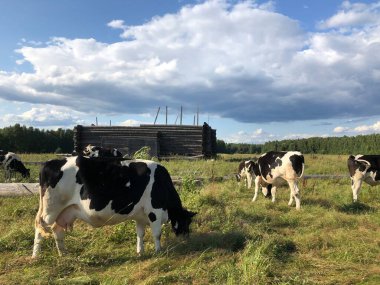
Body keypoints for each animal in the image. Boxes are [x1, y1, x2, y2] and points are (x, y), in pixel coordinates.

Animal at [32, 155, 196, 258]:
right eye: (186, 222)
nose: (186, 239)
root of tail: (50, 162)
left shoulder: (140, 216)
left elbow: (140, 234)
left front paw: (140, 252)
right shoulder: (154, 211)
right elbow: (157, 234)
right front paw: (158, 252)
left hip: (66, 211)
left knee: (57, 230)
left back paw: (63, 255)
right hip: (50, 209)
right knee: (40, 229)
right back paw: (36, 256)